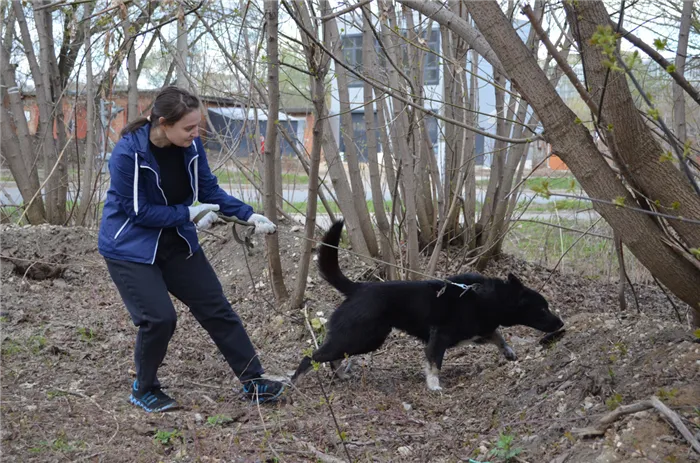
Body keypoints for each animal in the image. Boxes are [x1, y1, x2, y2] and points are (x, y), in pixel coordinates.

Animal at [292, 221, 568, 392]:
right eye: (542, 309)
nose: (561, 323)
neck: (485, 298)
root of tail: (358, 287)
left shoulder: (478, 332)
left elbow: (498, 336)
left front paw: (508, 352)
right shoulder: (440, 338)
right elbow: (434, 363)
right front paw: (434, 385)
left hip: (363, 338)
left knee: (331, 357)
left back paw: (338, 375)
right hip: (365, 337)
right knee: (311, 357)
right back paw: (293, 382)